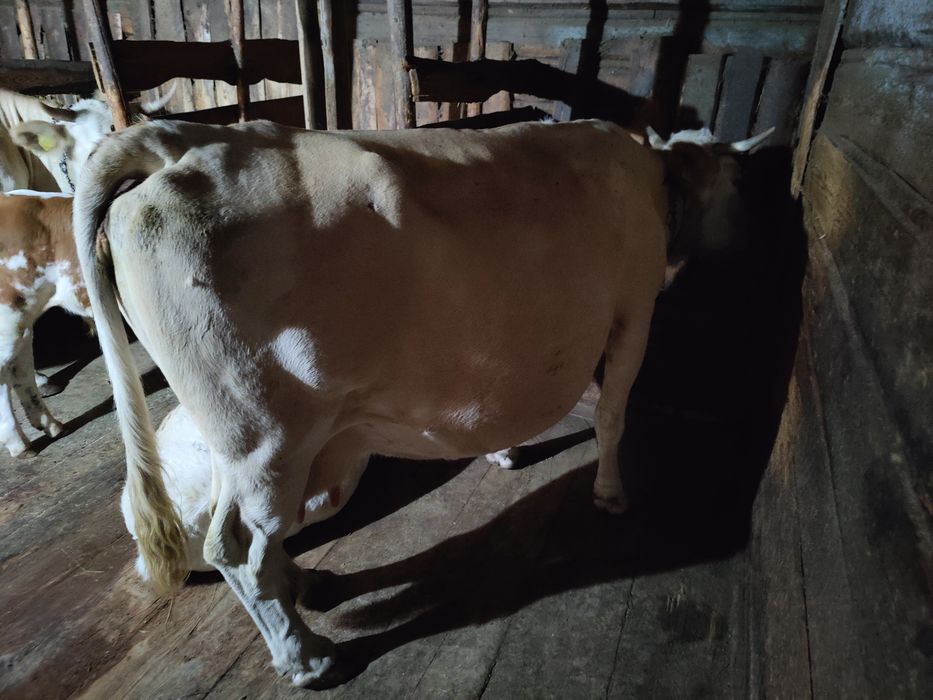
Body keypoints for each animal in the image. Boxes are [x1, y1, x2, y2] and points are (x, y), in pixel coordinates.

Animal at [74, 118, 771, 687]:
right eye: (741, 182)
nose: (750, 240)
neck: (654, 178)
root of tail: (180, 139)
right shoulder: (634, 309)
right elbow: (613, 411)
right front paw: (610, 493)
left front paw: (503, 453)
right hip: (264, 434)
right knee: (239, 547)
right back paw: (306, 658)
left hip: (250, 441)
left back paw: (307, 584)